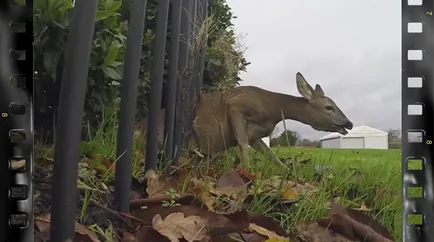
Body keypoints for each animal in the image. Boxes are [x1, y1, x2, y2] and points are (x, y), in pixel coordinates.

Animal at [136, 72, 352, 168]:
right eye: (329, 107)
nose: (348, 123)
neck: (272, 110)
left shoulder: (257, 135)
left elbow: (270, 155)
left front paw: (287, 171)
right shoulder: (237, 106)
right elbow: (242, 144)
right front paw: (247, 171)